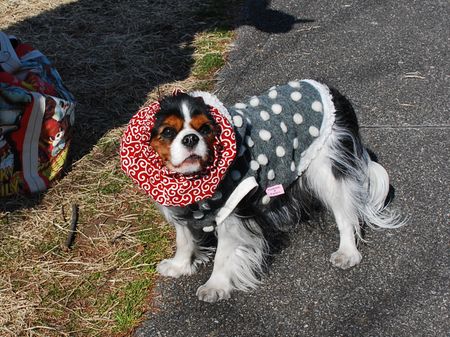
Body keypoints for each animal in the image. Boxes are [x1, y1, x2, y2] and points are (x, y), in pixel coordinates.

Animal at [119, 79, 404, 302]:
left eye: (205, 129)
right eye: (168, 131)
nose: (191, 138)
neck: (192, 179)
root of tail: (333, 93)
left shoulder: (232, 210)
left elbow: (224, 253)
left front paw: (215, 286)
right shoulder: (180, 207)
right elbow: (184, 239)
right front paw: (179, 266)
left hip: (327, 169)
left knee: (346, 214)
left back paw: (347, 253)